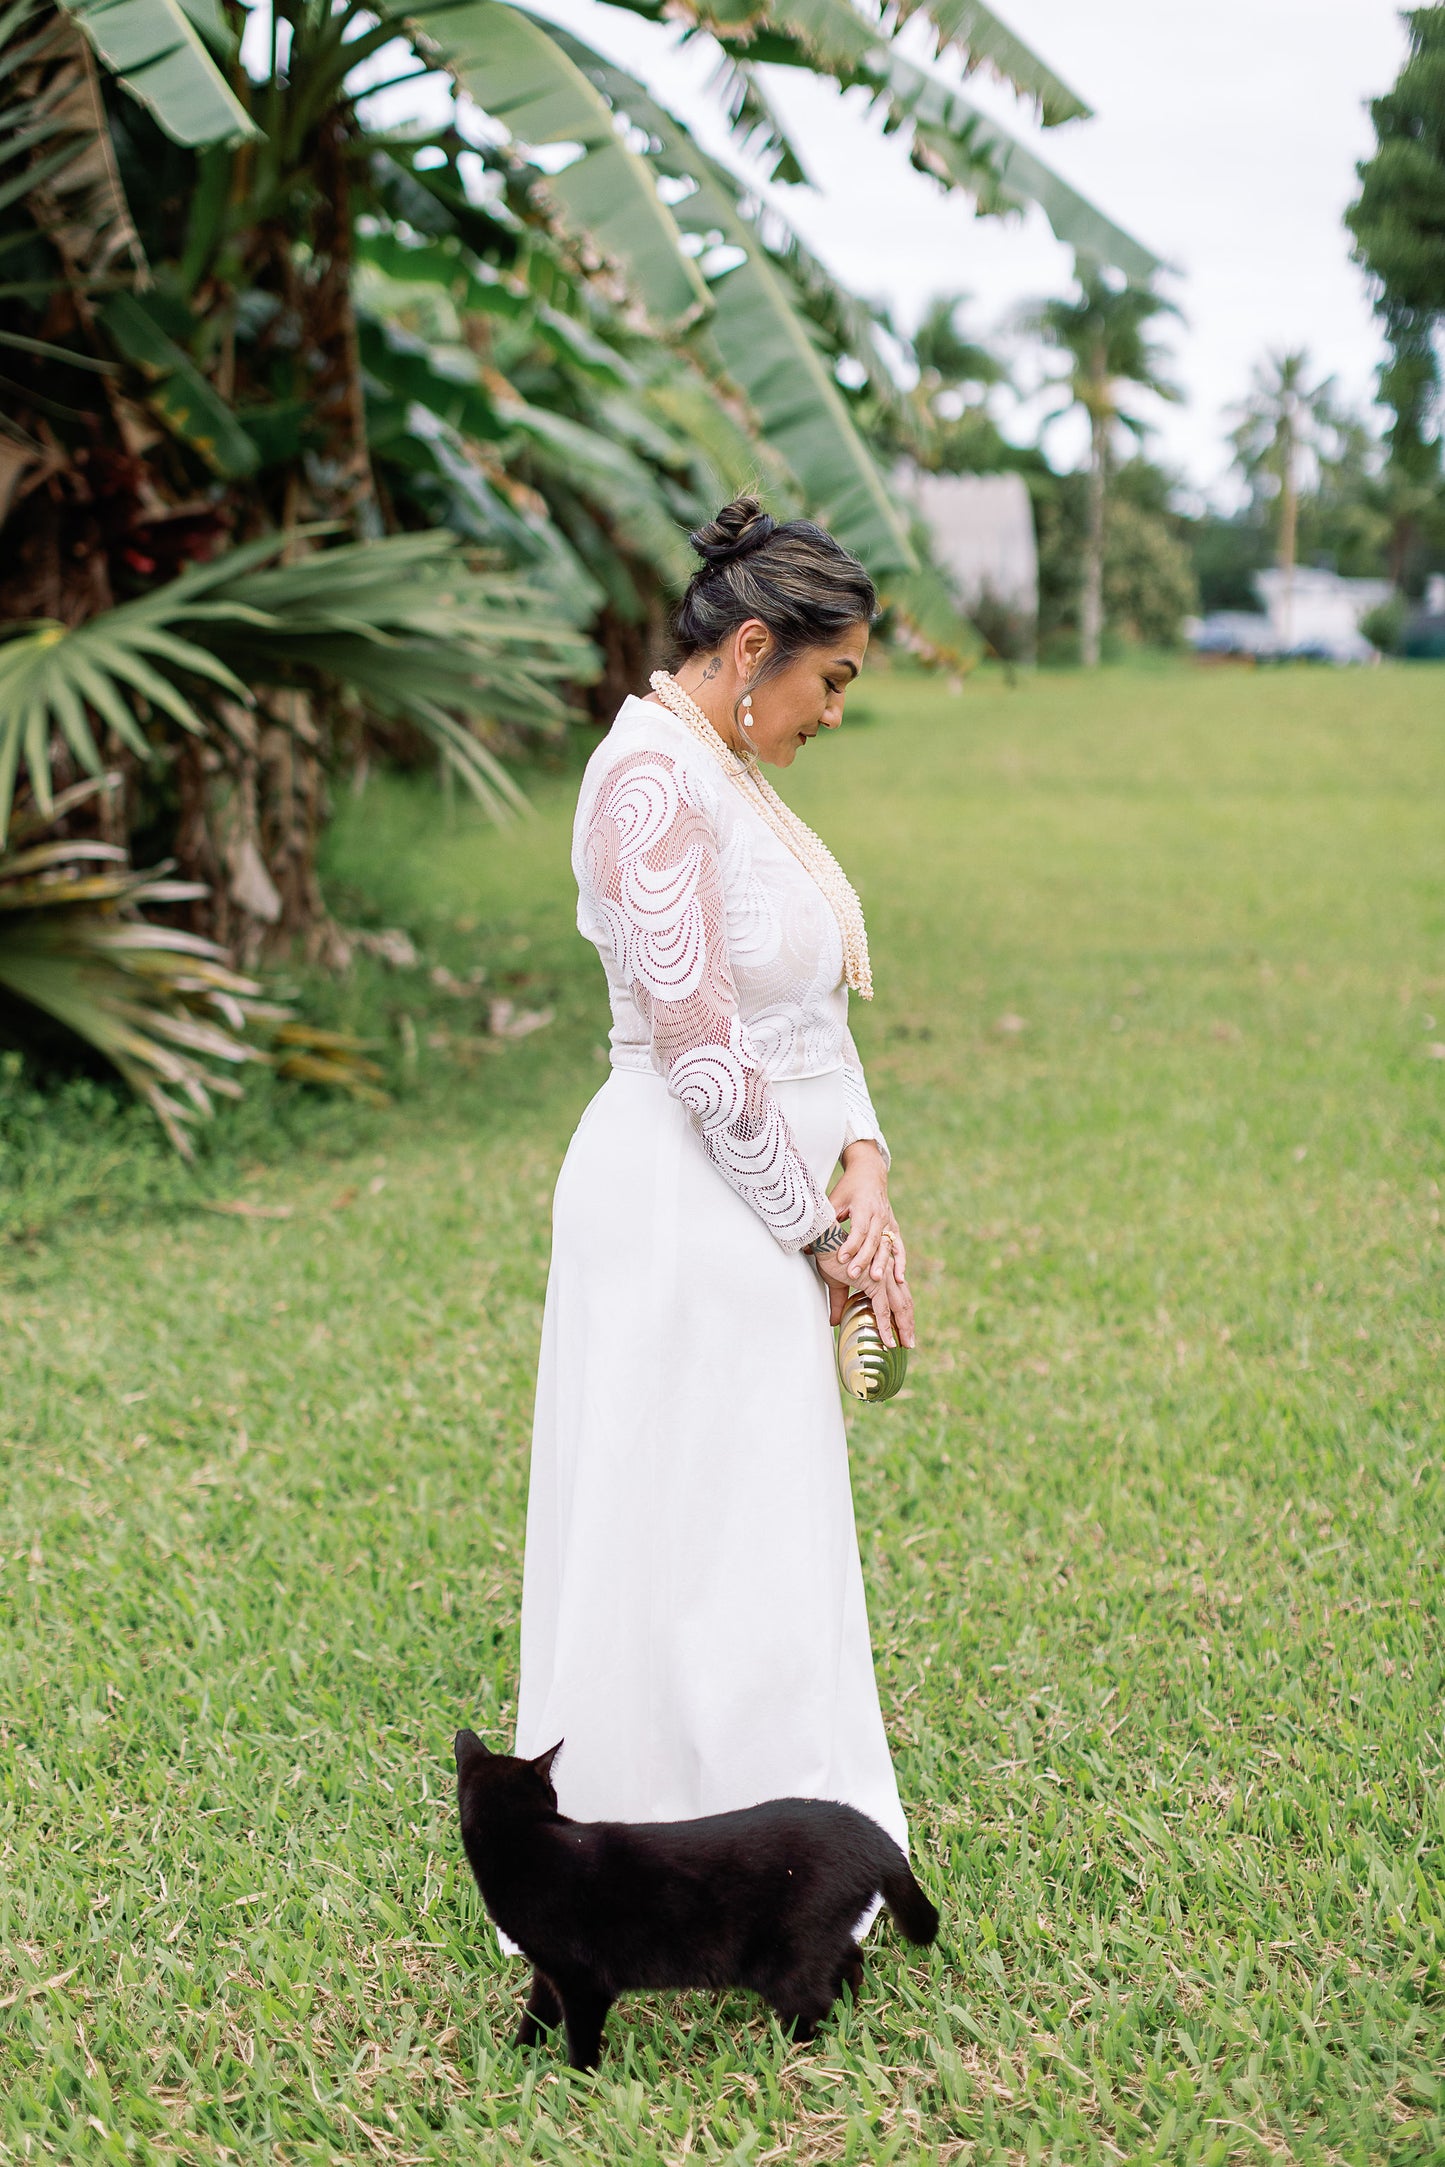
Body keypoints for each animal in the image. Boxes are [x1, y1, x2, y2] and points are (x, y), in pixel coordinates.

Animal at [457, 1724, 944, 2062]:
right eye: (553, 1792)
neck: (525, 1842)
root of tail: (872, 1834)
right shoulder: (549, 1969)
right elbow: (537, 2013)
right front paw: (518, 2058)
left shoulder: (583, 1982)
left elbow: (580, 2038)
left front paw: (579, 2082)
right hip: (818, 1938)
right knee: (850, 1958)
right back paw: (845, 2007)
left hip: (786, 1958)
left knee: (813, 2001)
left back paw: (787, 2051)